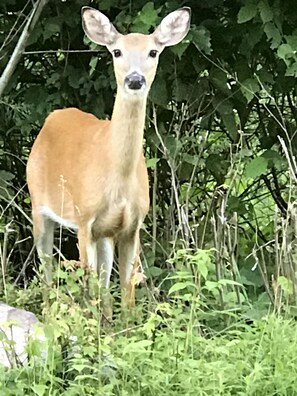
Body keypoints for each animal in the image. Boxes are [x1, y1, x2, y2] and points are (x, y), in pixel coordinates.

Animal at [26, 4, 191, 318]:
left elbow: (127, 294)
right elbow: (89, 291)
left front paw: (125, 328)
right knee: (47, 270)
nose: (135, 80)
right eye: (117, 51)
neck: (117, 178)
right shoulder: (84, 219)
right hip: (39, 205)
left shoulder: (132, 226)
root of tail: (54, 117)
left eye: (153, 52)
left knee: (103, 285)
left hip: (105, 234)